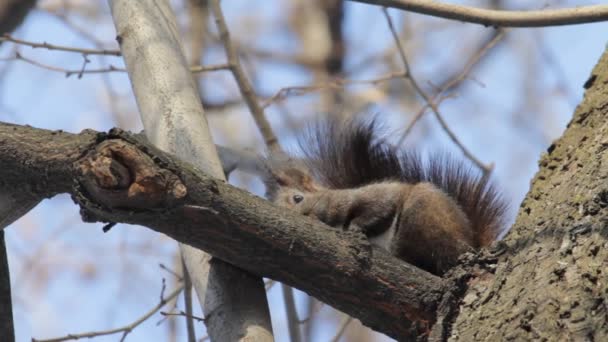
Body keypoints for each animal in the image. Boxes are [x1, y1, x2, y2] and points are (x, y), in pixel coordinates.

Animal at [264, 117, 506, 276]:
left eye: (297, 198)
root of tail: (471, 244)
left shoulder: (372, 196)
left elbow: (380, 209)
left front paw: (356, 228)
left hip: (423, 214)